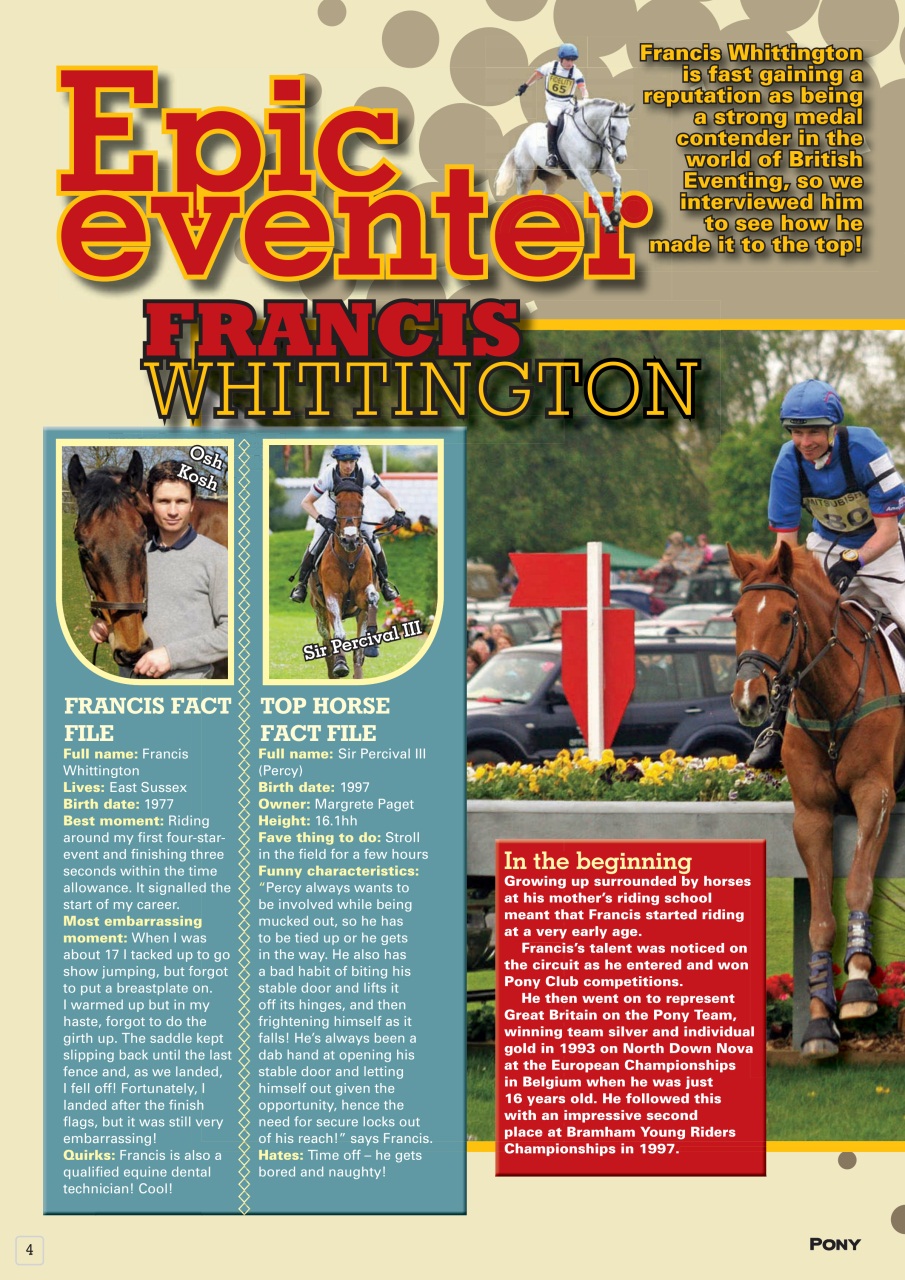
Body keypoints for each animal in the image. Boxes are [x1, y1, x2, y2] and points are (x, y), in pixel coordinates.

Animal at [309, 478, 381, 680]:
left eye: (361, 505)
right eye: (337, 505)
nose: (350, 539)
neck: (348, 558)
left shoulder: (362, 598)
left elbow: (372, 598)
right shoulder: (332, 596)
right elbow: (338, 634)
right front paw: (340, 665)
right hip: (320, 610)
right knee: (327, 639)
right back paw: (336, 668)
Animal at [495, 99, 635, 233]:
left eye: (628, 127)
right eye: (614, 127)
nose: (621, 157)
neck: (591, 136)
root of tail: (520, 140)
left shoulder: (605, 167)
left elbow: (617, 179)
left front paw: (615, 215)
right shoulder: (582, 172)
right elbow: (596, 196)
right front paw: (608, 224)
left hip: (554, 180)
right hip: (525, 176)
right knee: (521, 192)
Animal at [728, 542, 905, 1057]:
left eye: (786, 616)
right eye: (735, 616)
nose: (749, 701)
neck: (831, 696)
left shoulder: (874, 793)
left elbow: (859, 882)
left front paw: (861, 985)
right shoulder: (810, 813)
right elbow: (820, 917)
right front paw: (820, 1023)